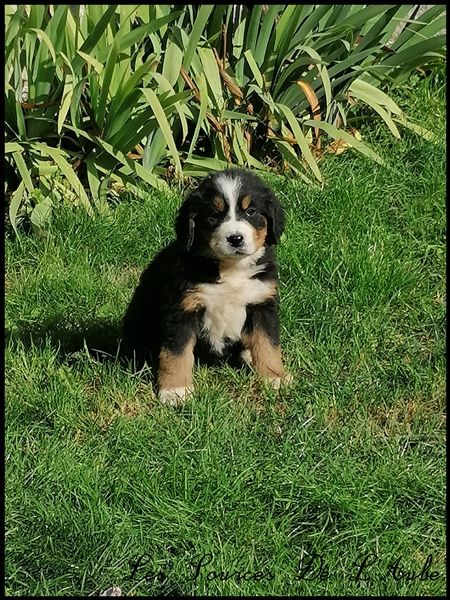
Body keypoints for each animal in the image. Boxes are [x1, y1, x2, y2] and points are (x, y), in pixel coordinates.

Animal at [122, 168, 291, 405]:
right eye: (213, 215)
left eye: (251, 212)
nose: (236, 238)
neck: (231, 269)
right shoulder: (181, 309)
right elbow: (176, 353)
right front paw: (175, 390)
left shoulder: (261, 302)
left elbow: (268, 344)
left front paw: (274, 378)